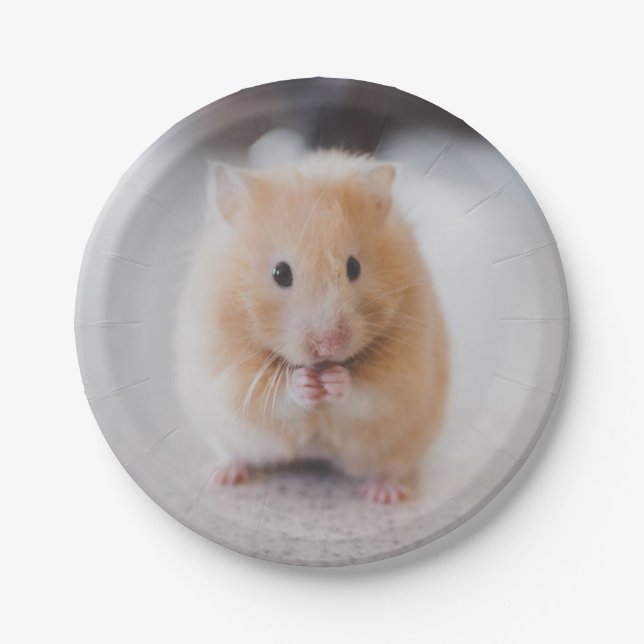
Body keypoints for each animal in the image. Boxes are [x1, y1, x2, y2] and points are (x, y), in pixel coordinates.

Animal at [175, 149, 448, 503]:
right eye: (280, 273)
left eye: (354, 267)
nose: (327, 347)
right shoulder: (226, 369)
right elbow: (271, 395)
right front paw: (305, 383)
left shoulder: (405, 371)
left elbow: (370, 392)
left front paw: (334, 381)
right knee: (234, 453)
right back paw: (221, 476)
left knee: (387, 467)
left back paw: (384, 495)